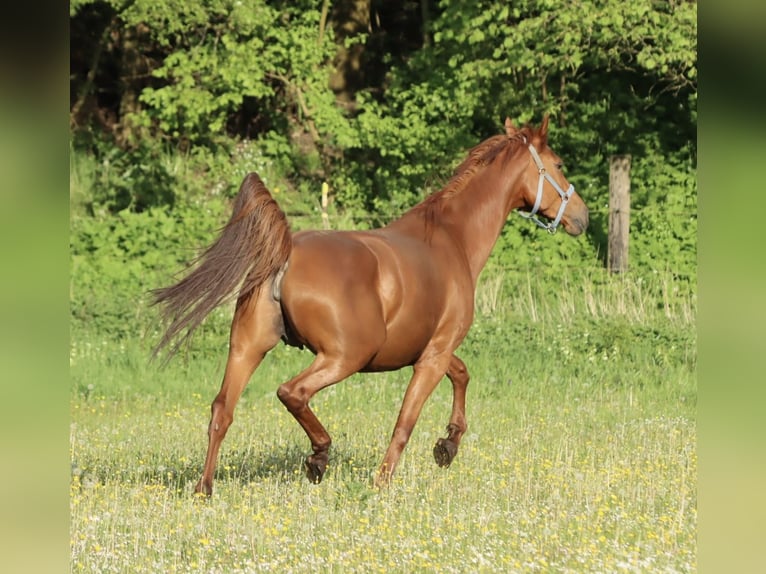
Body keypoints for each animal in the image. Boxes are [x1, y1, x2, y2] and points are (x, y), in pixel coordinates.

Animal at [153, 116, 592, 496]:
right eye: (558, 164)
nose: (582, 217)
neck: (452, 238)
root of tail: (286, 252)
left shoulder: (429, 348)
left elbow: (462, 374)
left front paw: (447, 446)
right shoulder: (432, 356)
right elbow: (406, 421)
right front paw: (385, 480)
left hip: (247, 347)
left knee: (221, 411)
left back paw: (205, 488)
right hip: (344, 357)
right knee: (291, 392)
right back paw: (319, 456)